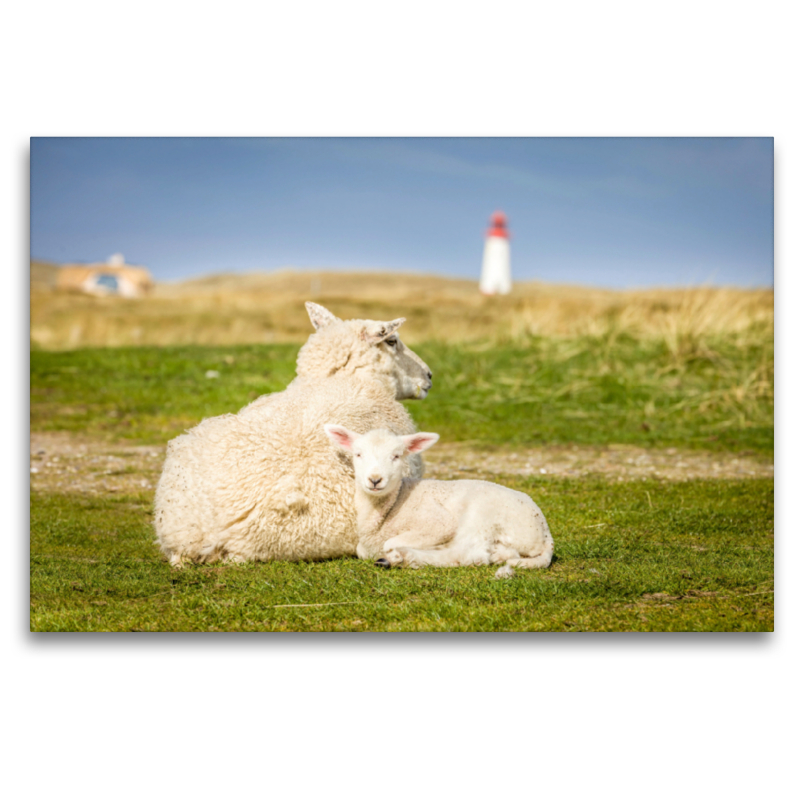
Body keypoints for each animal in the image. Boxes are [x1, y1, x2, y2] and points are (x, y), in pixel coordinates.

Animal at [322, 428, 552, 580]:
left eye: (397, 456)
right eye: (358, 454)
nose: (375, 480)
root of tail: (545, 535)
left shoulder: (437, 522)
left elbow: (389, 542)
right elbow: (361, 550)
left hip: (483, 516)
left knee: (468, 553)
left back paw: (403, 557)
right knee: (501, 554)